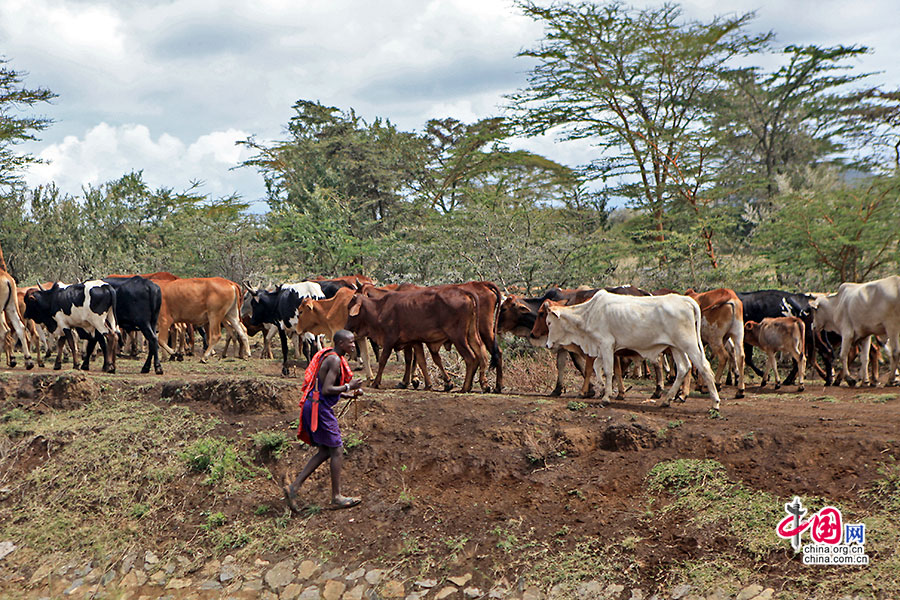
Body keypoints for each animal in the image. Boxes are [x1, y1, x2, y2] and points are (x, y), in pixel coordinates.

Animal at [540, 290, 724, 412]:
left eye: (548, 322)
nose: (548, 345)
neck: (588, 313)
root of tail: (687, 300)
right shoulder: (603, 348)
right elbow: (598, 368)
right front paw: (604, 389)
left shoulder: (606, 344)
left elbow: (607, 370)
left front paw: (606, 397)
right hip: (676, 347)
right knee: (684, 368)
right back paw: (666, 400)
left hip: (689, 344)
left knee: (704, 367)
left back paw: (715, 403)